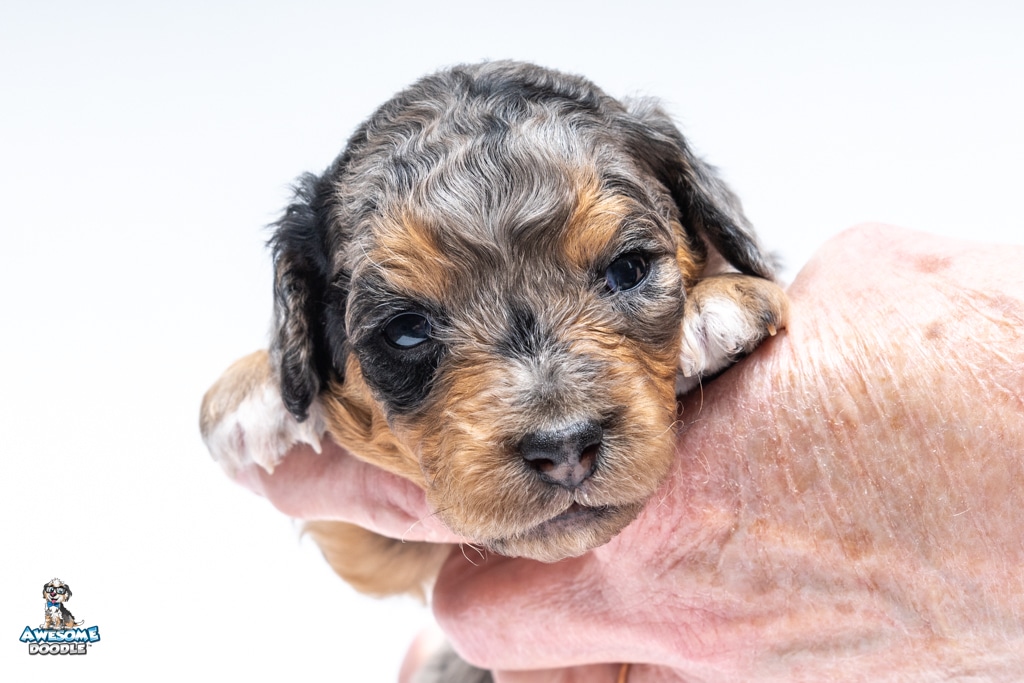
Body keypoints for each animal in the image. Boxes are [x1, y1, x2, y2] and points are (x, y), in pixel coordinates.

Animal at [200, 61, 788, 599]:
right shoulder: (386, 552)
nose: (564, 451)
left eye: (628, 270)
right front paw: (255, 387)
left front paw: (719, 302)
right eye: (406, 330)